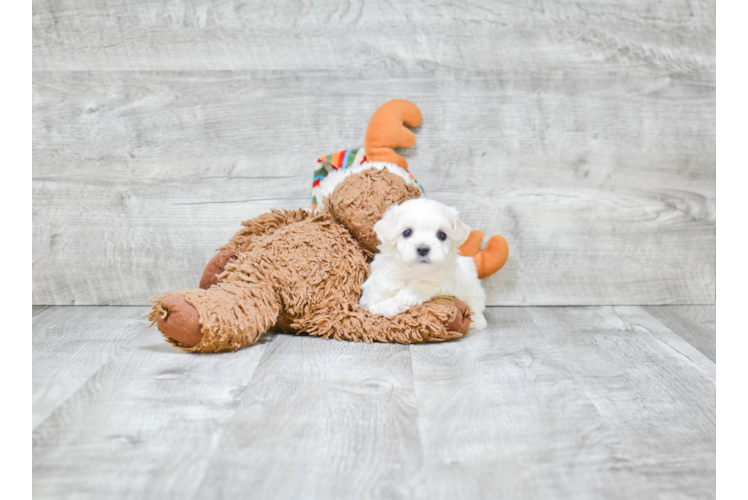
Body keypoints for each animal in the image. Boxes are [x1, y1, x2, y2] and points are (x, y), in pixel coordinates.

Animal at [360, 197, 488, 330]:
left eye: (442, 235)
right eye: (407, 232)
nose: (422, 249)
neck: (414, 271)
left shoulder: (445, 283)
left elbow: (427, 284)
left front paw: (408, 294)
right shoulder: (373, 293)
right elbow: (375, 304)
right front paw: (394, 304)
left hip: (472, 283)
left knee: (476, 303)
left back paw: (478, 320)